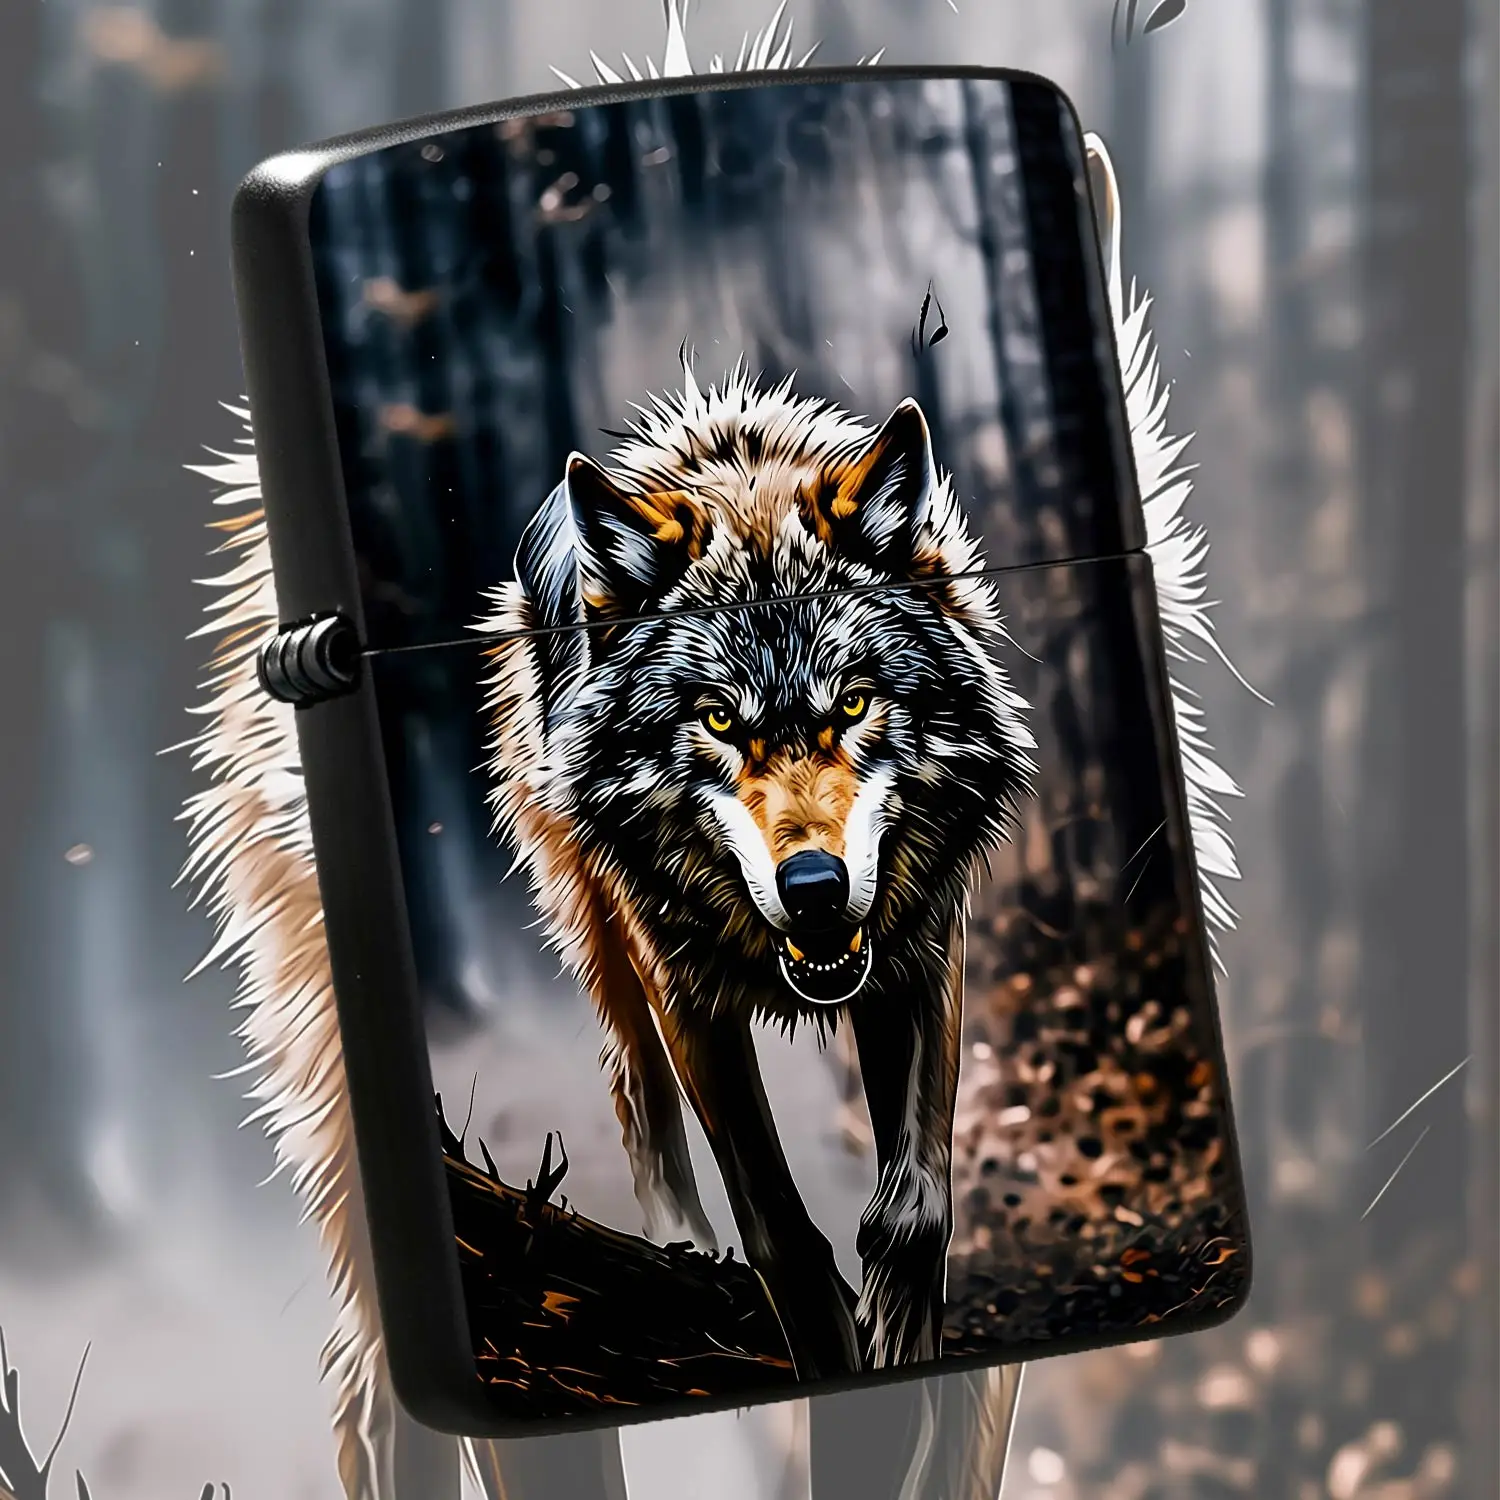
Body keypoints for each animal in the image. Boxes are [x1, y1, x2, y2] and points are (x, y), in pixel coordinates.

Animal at [475, 361, 1037, 1376]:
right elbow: (781, 1231)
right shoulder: (686, 992)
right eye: (718, 719)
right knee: (634, 1083)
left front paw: (899, 1344)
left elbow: (912, 1214)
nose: (813, 890)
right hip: (596, 925)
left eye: (853, 702)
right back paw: (680, 1242)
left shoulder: (925, 951)